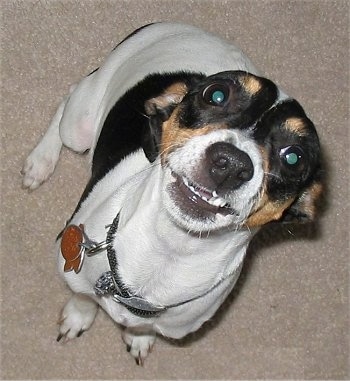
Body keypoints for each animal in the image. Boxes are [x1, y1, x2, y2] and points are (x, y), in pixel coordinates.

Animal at [21, 21, 322, 366]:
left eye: (294, 157)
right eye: (216, 94)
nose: (231, 163)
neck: (168, 251)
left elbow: (142, 328)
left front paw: (139, 337)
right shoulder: (76, 265)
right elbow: (83, 297)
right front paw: (78, 316)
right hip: (78, 126)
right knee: (68, 101)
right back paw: (40, 162)